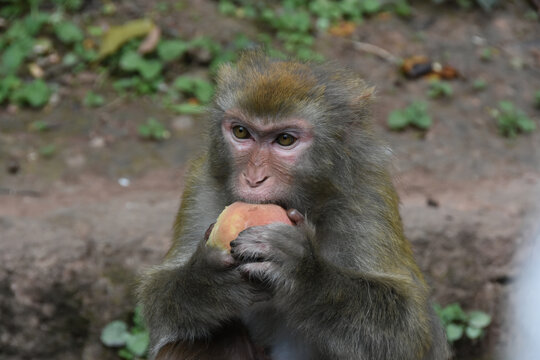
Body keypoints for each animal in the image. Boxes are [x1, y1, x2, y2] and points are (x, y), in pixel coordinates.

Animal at [137, 51, 450, 360]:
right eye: (241, 132)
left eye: (285, 139)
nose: (253, 178)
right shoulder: (200, 185)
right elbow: (158, 305)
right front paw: (210, 278)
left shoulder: (368, 195)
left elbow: (410, 331)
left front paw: (305, 273)